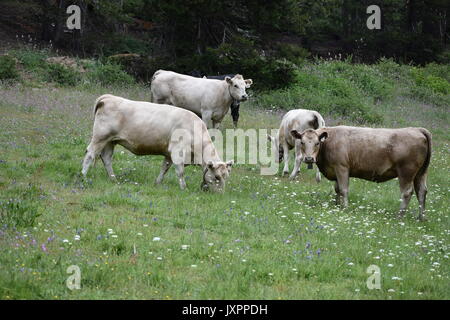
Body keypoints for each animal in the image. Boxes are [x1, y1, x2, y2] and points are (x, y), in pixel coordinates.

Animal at [81, 94, 234, 191]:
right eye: (216, 177)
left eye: (226, 176)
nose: (220, 194)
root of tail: (108, 97)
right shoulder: (177, 152)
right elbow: (180, 172)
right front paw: (184, 188)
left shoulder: (168, 154)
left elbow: (164, 168)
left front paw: (157, 183)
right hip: (100, 137)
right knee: (90, 154)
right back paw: (83, 176)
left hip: (110, 141)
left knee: (106, 158)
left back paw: (113, 179)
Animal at [290, 126, 430, 221]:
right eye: (302, 142)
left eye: (317, 143)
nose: (309, 158)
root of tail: (417, 129)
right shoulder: (335, 170)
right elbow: (337, 189)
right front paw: (336, 205)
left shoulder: (342, 167)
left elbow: (343, 189)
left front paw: (345, 208)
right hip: (420, 174)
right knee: (422, 191)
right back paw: (421, 217)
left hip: (406, 172)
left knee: (407, 193)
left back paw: (399, 216)